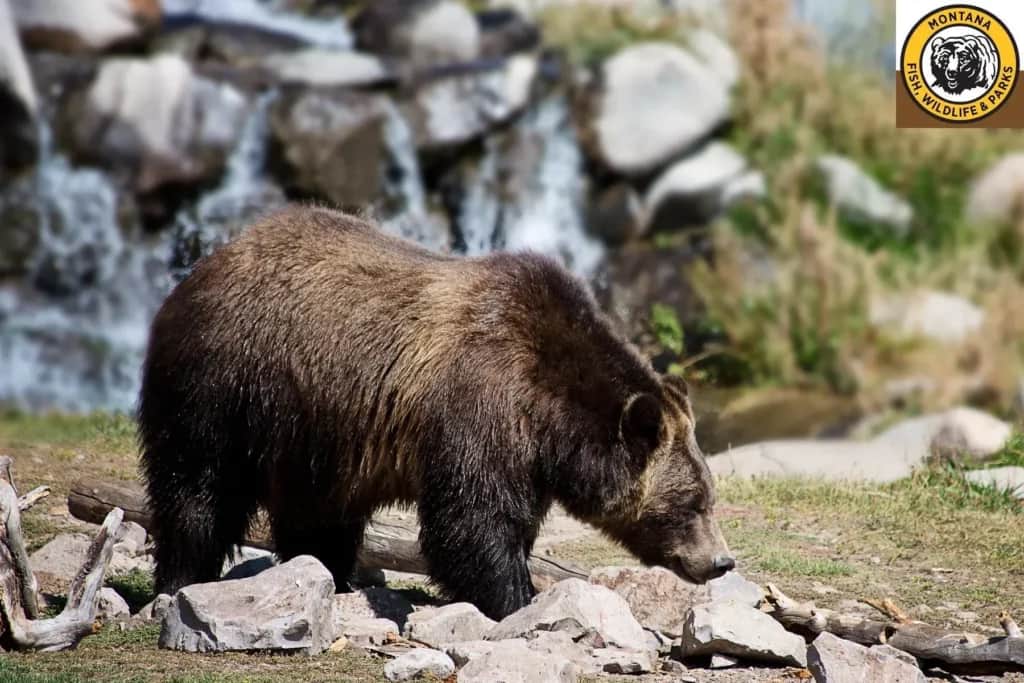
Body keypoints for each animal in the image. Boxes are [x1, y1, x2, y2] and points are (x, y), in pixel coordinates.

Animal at [139, 206, 733, 620]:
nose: (721, 561)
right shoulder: (481, 404)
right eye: (692, 503)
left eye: (709, 495)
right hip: (227, 383)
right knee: (199, 487)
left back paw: (331, 574)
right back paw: (181, 578)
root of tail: (204, 265)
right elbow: (471, 521)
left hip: (313, 429)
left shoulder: (526, 454)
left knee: (318, 512)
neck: (550, 415)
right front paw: (517, 598)